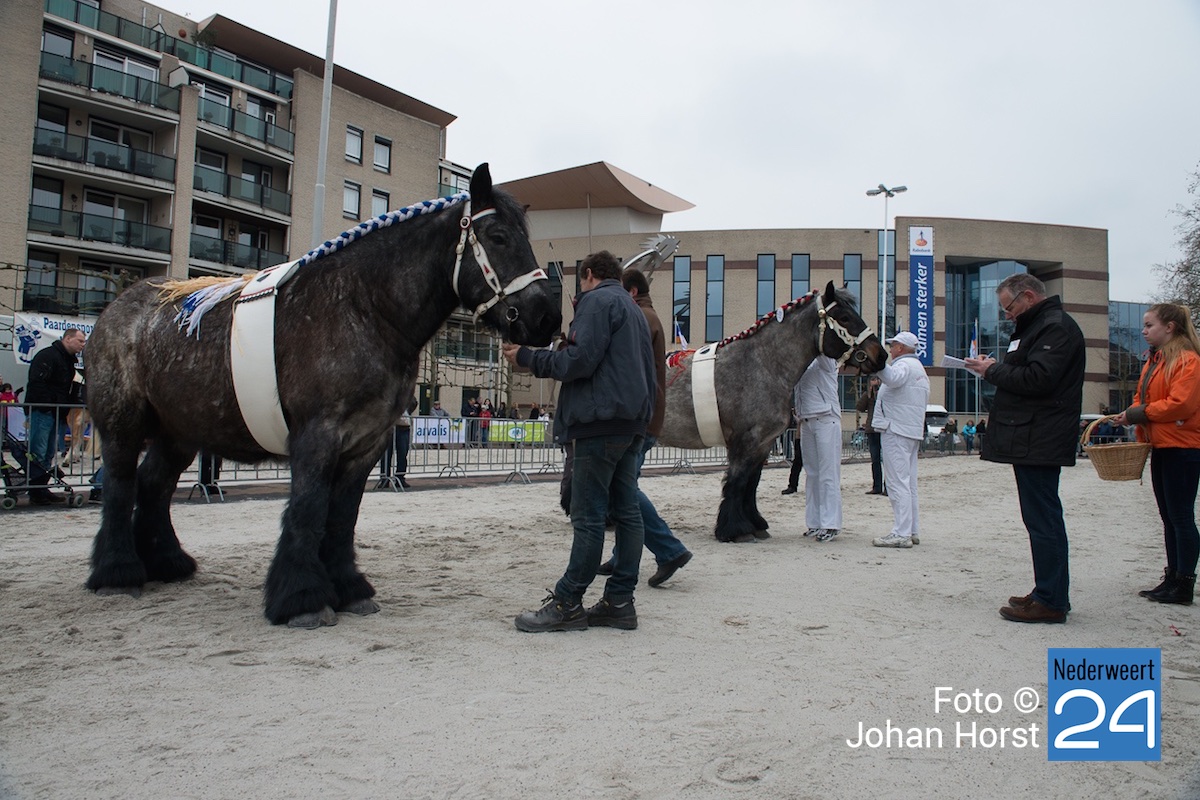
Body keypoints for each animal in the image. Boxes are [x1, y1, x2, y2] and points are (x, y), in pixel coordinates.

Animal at [84, 164, 562, 627]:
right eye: (498, 236)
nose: (546, 317)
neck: (362, 309)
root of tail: (116, 309)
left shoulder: (365, 445)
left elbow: (342, 518)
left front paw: (349, 589)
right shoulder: (317, 438)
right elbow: (309, 510)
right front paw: (302, 599)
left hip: (179, 431)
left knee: (154, 484)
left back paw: (167, 562)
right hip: (122, 425)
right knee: (120, 485)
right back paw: (117, 572)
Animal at [658, 281, 888, 542]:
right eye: (844, 317)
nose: (880, 355)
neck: (761, 365)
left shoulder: (764, 443)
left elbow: (752, 483)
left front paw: (756, 524)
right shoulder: (746, 440)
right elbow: (737, 481)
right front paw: (734, 530)